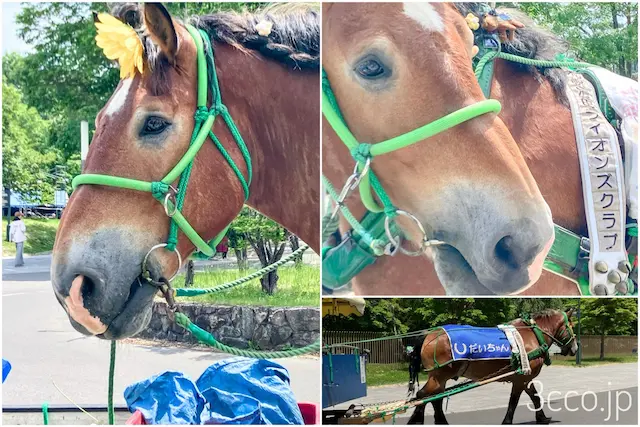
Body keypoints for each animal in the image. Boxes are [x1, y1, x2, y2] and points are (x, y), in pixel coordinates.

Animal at [407, 308, 577, 424]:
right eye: (571, 327)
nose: (575, 348)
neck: (532, 334)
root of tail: (429, 335)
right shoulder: (521, 378)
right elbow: (514, 401)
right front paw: (507, 421)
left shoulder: (526, 378)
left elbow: (534, 397)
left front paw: (542, 417)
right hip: (439, 376)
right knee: (423, 395)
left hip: (440, 378)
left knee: (435, 399)